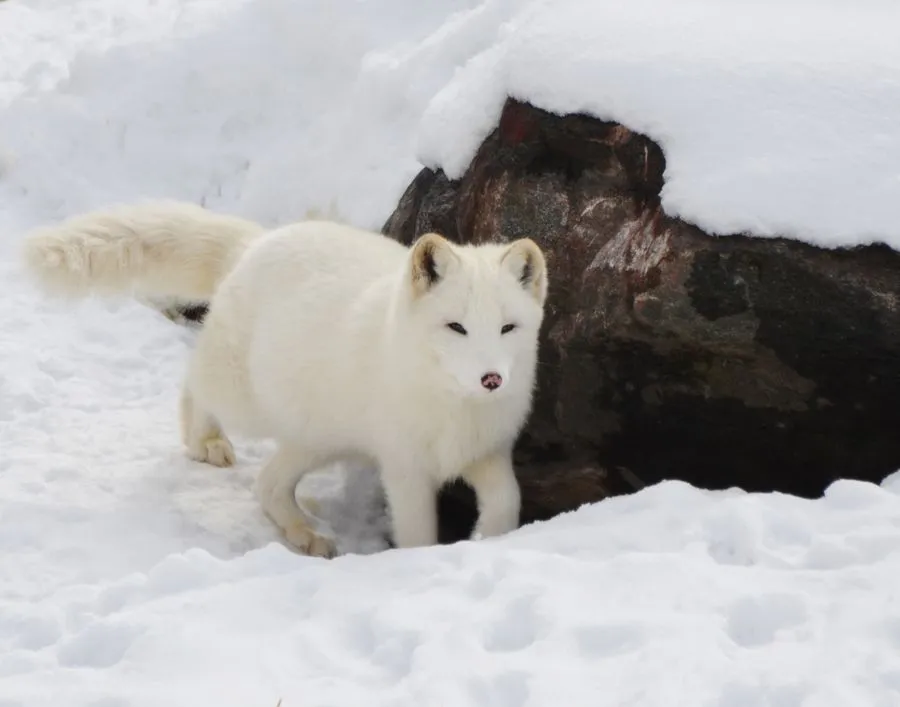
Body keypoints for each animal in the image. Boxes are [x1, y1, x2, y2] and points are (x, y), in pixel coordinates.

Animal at [22, 200, 549, 557]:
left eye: (508, 328)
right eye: (456, 327)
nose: (491, 378)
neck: (453, 407)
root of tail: (256, 243)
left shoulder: (487, 451)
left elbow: (508, 500)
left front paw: (492, 540)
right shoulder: (405, 467)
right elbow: (418, 533)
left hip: (317, 437)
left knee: (267, 486)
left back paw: (305, 534)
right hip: (248, 402)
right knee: (194, 383)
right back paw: (205, 440)